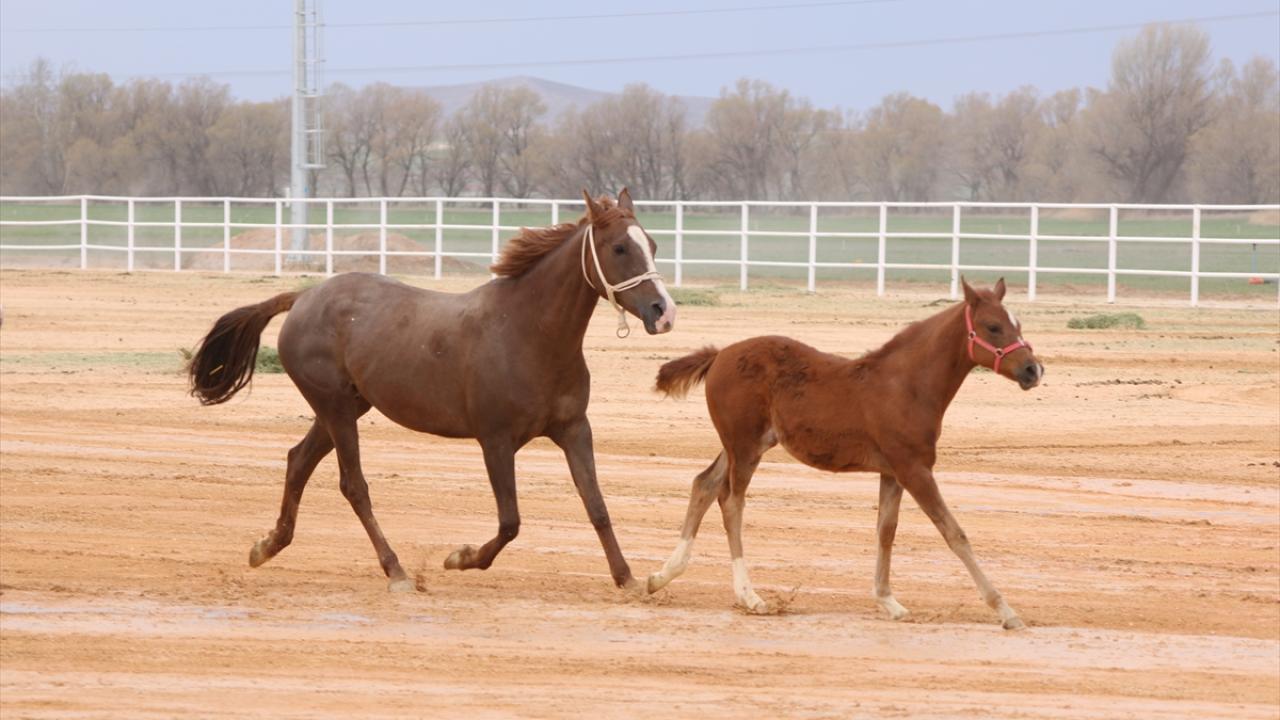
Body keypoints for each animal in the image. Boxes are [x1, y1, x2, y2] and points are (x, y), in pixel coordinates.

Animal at [187, 189, 675, 592]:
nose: (663, 311)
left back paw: (267, 546)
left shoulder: (574, 428)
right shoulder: (495, 440)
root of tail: (303, 297)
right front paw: (460, 558)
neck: (528, 332)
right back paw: (397, 571)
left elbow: (596, 505)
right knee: (353, 485)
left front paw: (629, 578)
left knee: (298, 461)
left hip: (346, 406)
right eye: (619, 247)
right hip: (335, 407)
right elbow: (510, 521)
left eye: (652, 245)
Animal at [645, 278, 1042, 629]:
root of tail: (719, 355)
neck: (907, 385)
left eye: (1017, 324)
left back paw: (661, 576)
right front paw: (1006, 611)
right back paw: (749, 595)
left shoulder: (893, 472)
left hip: (743, 442)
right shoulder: (914, 469)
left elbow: (886, 530)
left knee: (704, 484)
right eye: (993, 326)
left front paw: (888, 601)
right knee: (731, 501)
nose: (1032, 369)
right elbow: (954, 533)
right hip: (744, 446)